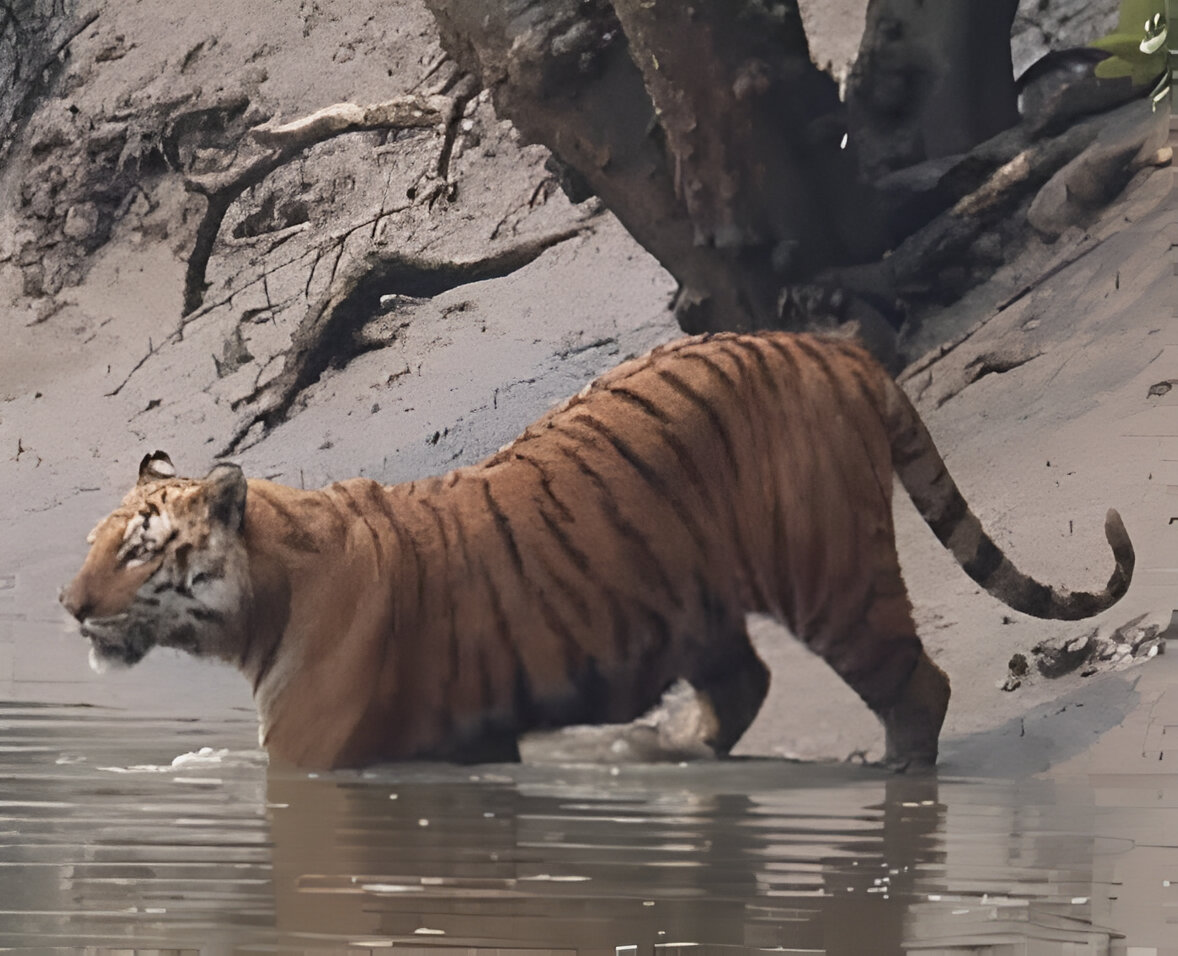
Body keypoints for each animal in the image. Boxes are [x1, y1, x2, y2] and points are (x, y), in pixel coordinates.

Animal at [60, 331, 1134, 770]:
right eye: (93, 546)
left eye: (138, 554)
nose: (69, 608)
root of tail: (834, 344)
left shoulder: (310, 763)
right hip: (689, 594)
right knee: (744, 684)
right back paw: (665, 751)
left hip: (831, 575)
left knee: (917, 685)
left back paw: (897, 779)